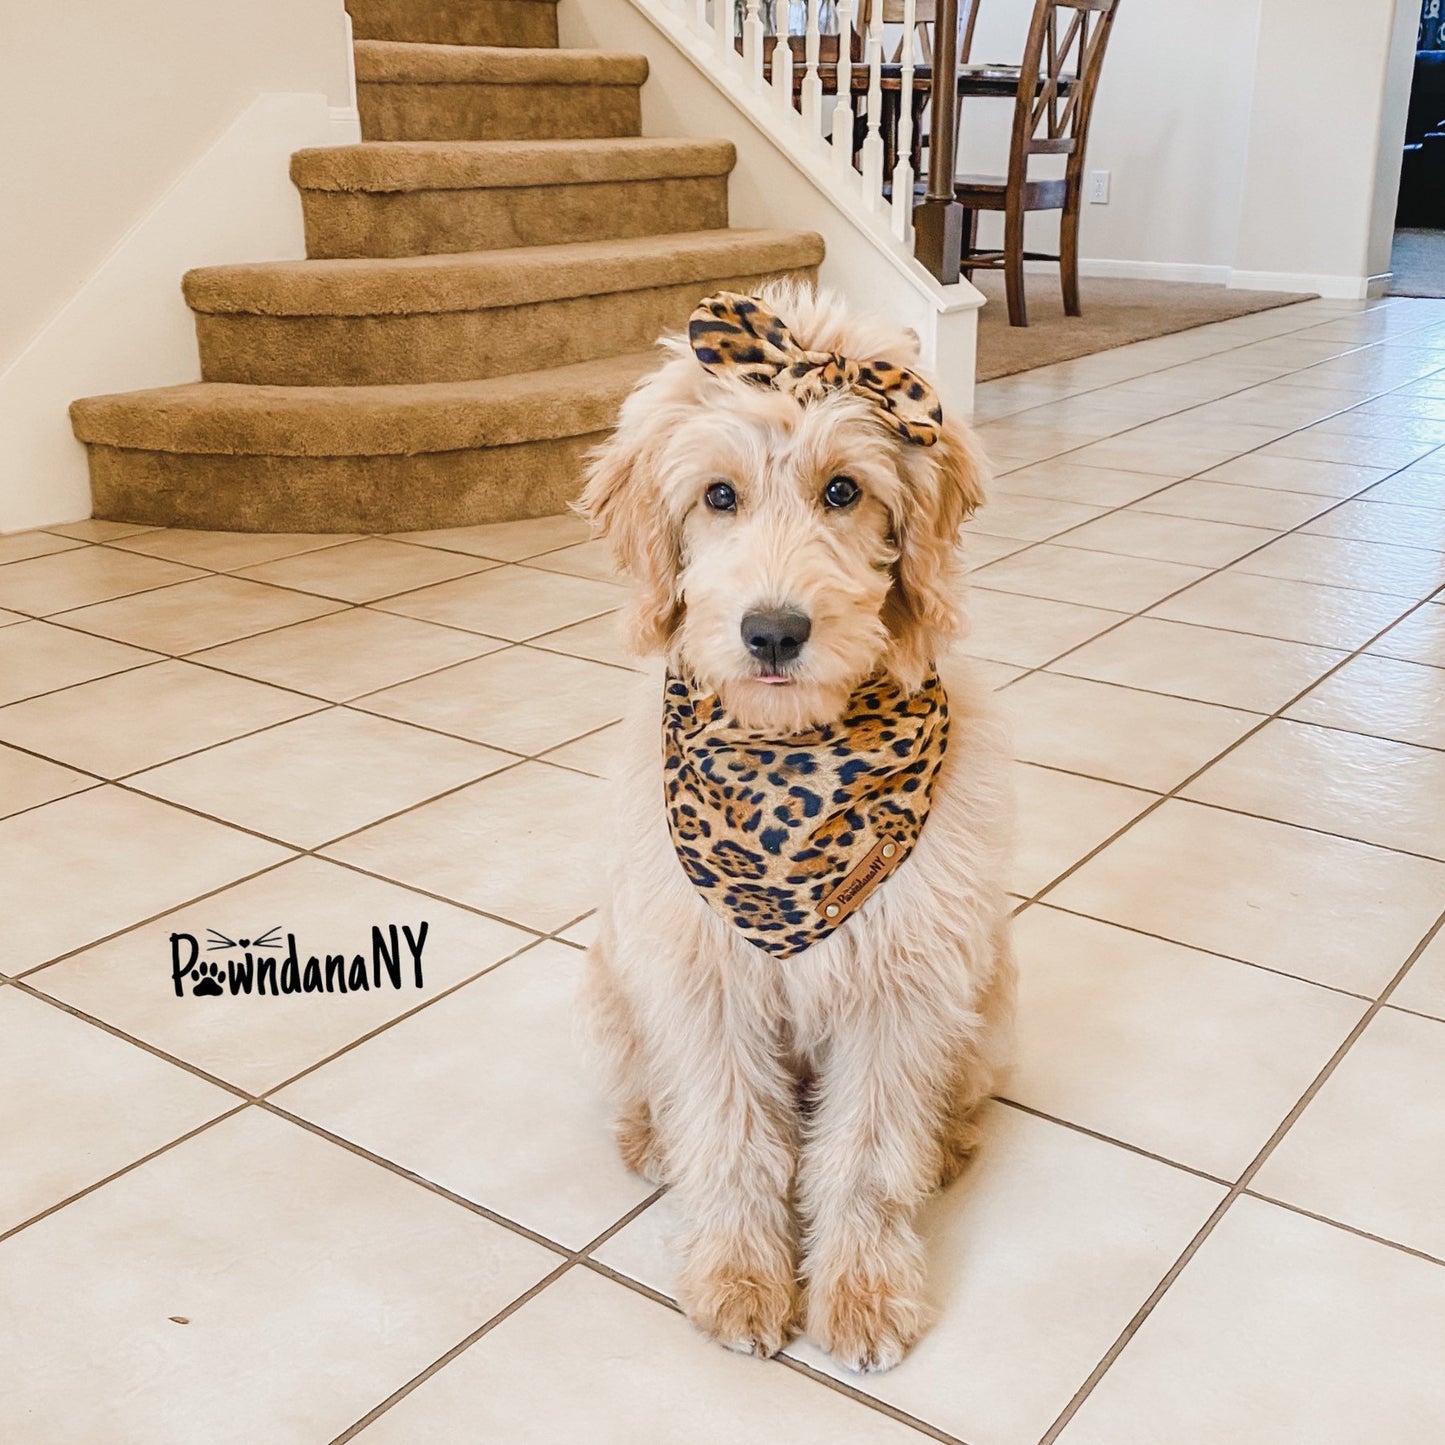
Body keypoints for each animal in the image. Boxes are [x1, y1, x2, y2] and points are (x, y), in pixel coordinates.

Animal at [578, 278, 1017, 1364]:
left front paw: (860, 1291)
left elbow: (865, 1151)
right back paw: (650, 1137)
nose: (773, 631)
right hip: (614, 972)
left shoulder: (903, 988)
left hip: (987, 981)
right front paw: (739, 1278)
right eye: (717, 495)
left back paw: (947, 1144)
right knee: (655, 1091)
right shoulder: (702, 981)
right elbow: (731, 1137)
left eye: (844, 491)